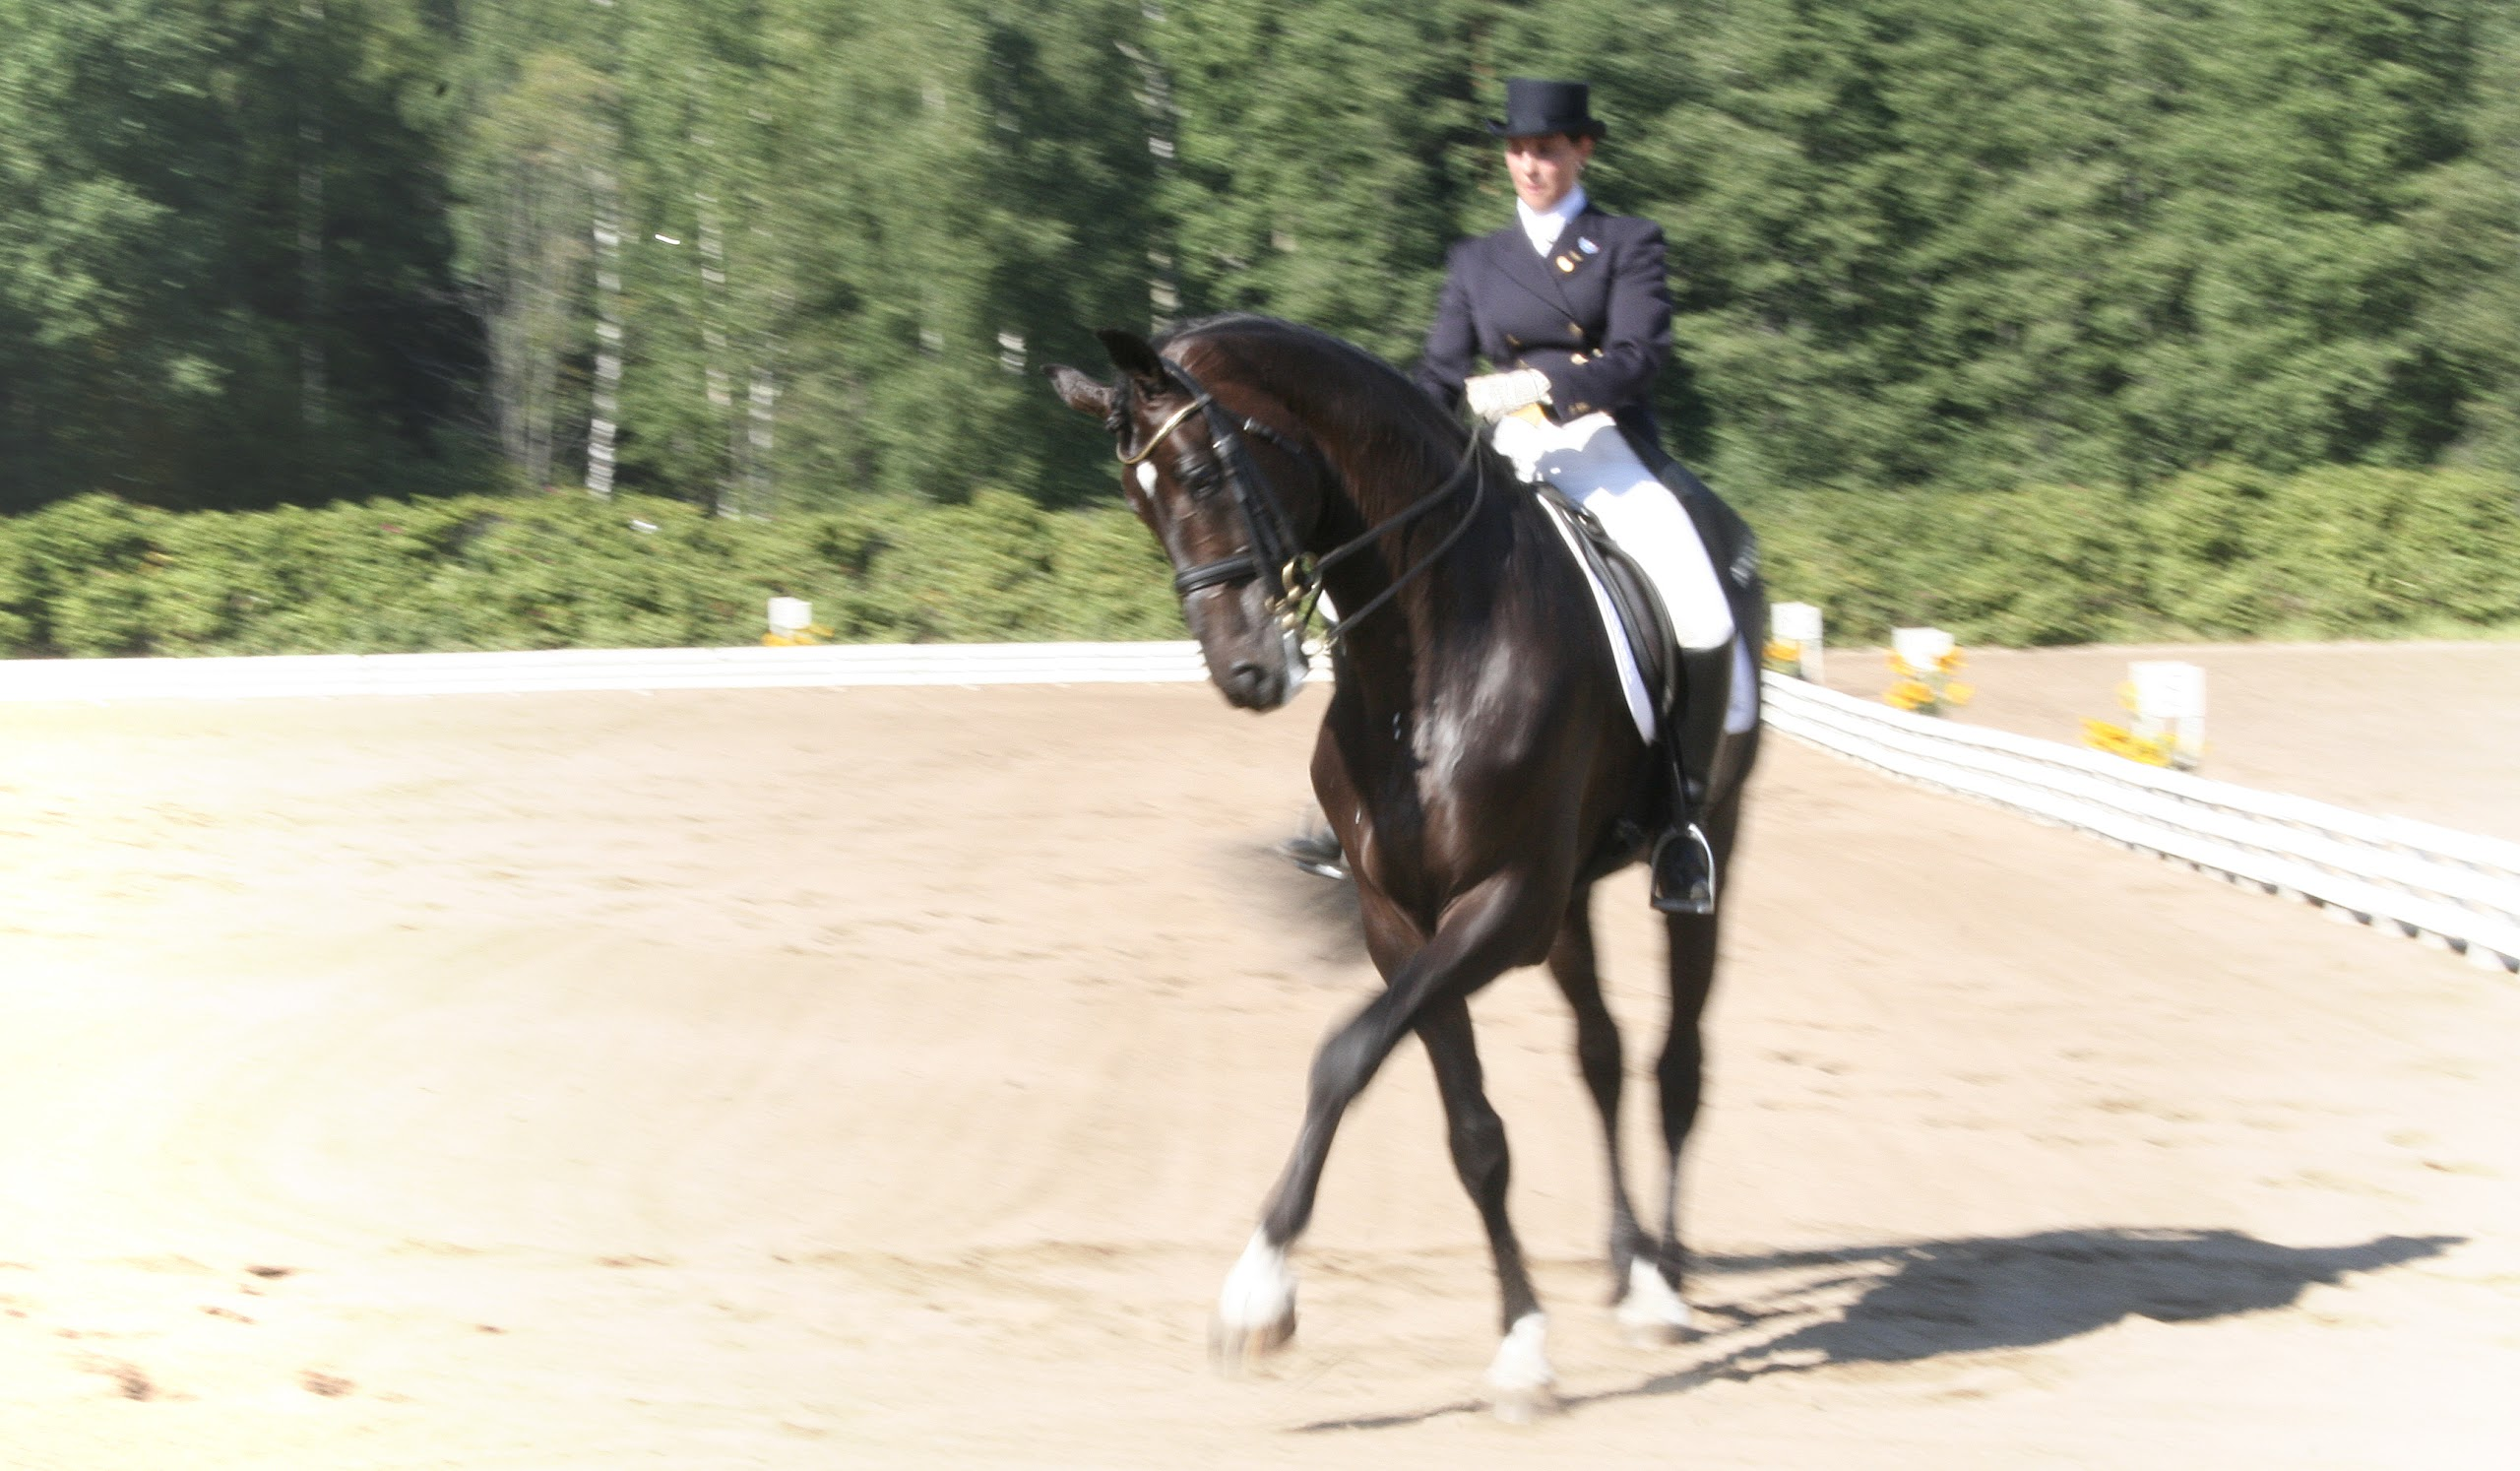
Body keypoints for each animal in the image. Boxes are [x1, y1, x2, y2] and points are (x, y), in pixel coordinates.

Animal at [1042, 316, 1753, 1420]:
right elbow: (1474, 1135)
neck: (1428, 660)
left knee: (1677, 1058)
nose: (1246, 673)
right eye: (1138, 503)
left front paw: (1258, 1292)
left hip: (1703, 847)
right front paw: (1521, 1343)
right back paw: (1627, 1263)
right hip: (1567, 907)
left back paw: (1664, 1286)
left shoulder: (1499, 906)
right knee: (1599, 1054)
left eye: (1203, 472)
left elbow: (1344, 1056)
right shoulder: (1403, 920)